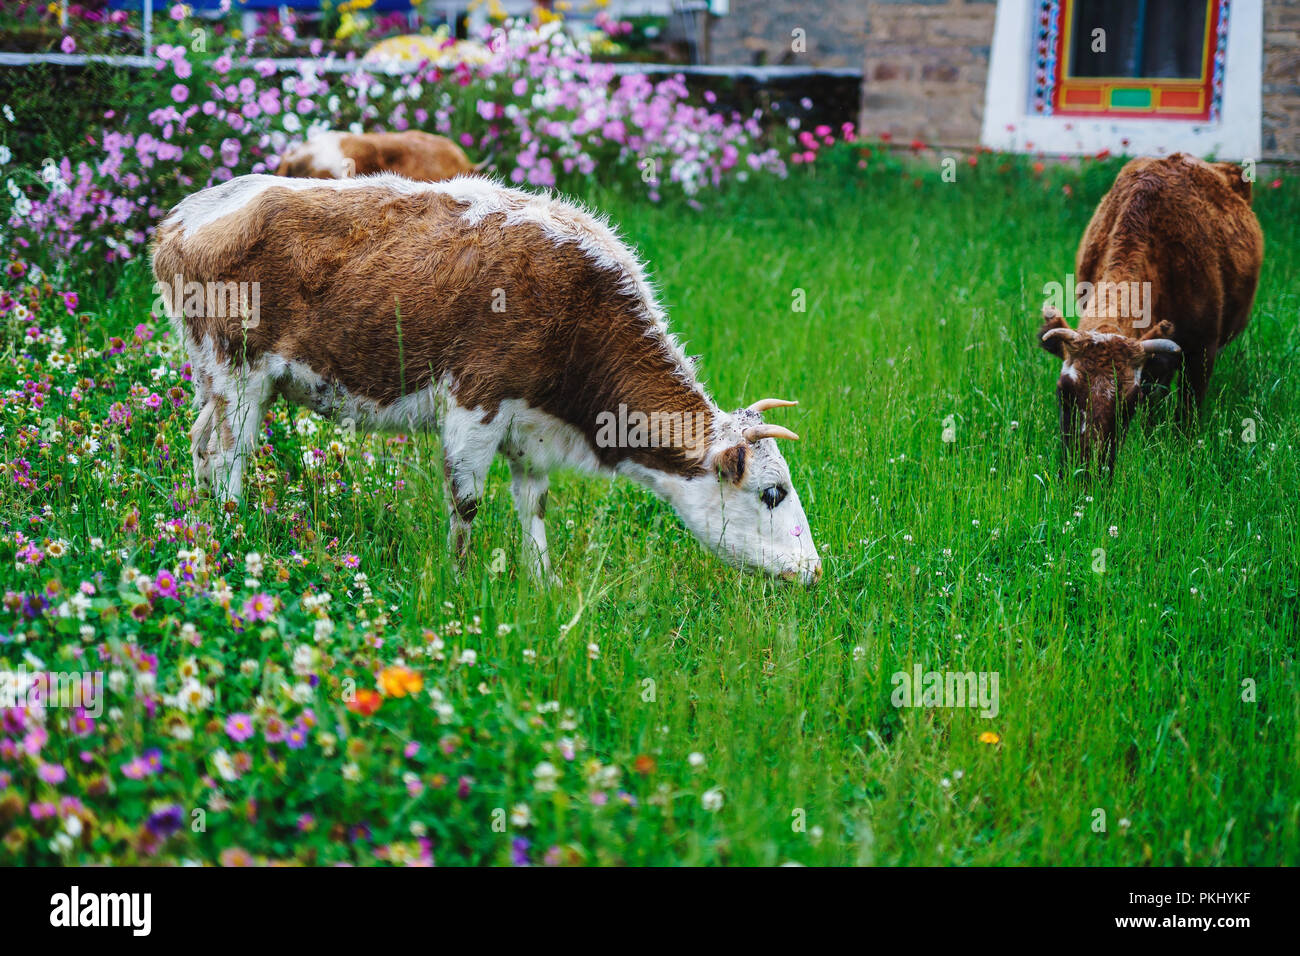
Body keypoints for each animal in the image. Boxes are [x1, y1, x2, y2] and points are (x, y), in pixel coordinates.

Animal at [150, 174, 823, 586]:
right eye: (773, 492)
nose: (815, 570)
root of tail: (185, 214)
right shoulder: (475, 402)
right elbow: (467, 501)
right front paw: (460, 578)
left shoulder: (531, 430)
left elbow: (534, 505)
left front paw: (543, 581)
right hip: (237, 373)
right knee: (230, 454)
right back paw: (236, 534)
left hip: (214, 377)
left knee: (200, 442)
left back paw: (204, 521)